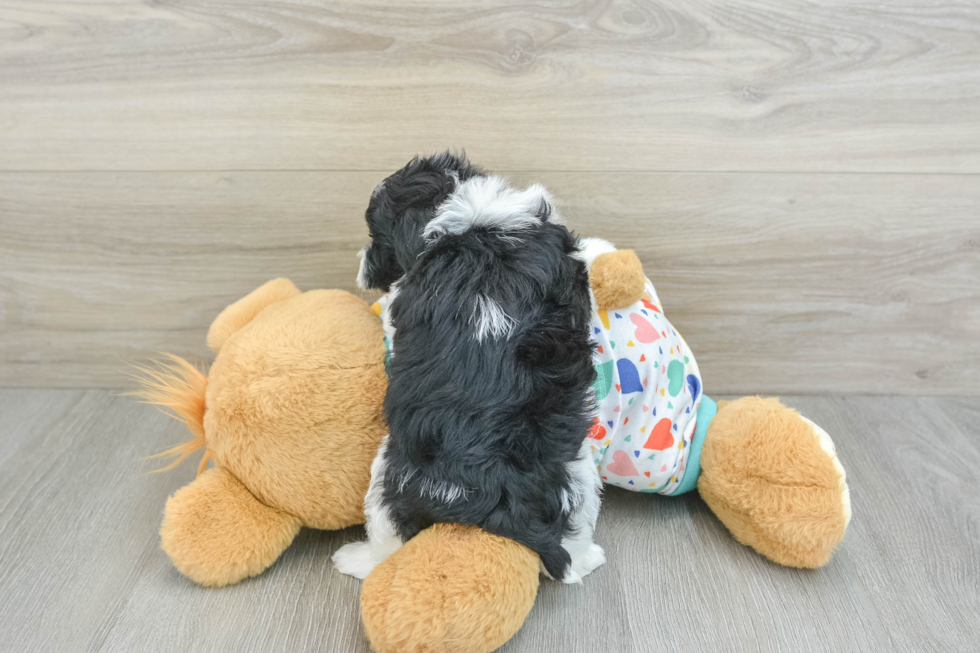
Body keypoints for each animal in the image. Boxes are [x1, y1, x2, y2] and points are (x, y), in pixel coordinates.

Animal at [334, 154, 604, 580]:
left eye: (375, 237)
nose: (361, 264)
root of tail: (488, 494)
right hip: (574, 471)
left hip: (388, 473)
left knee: (387, 538)